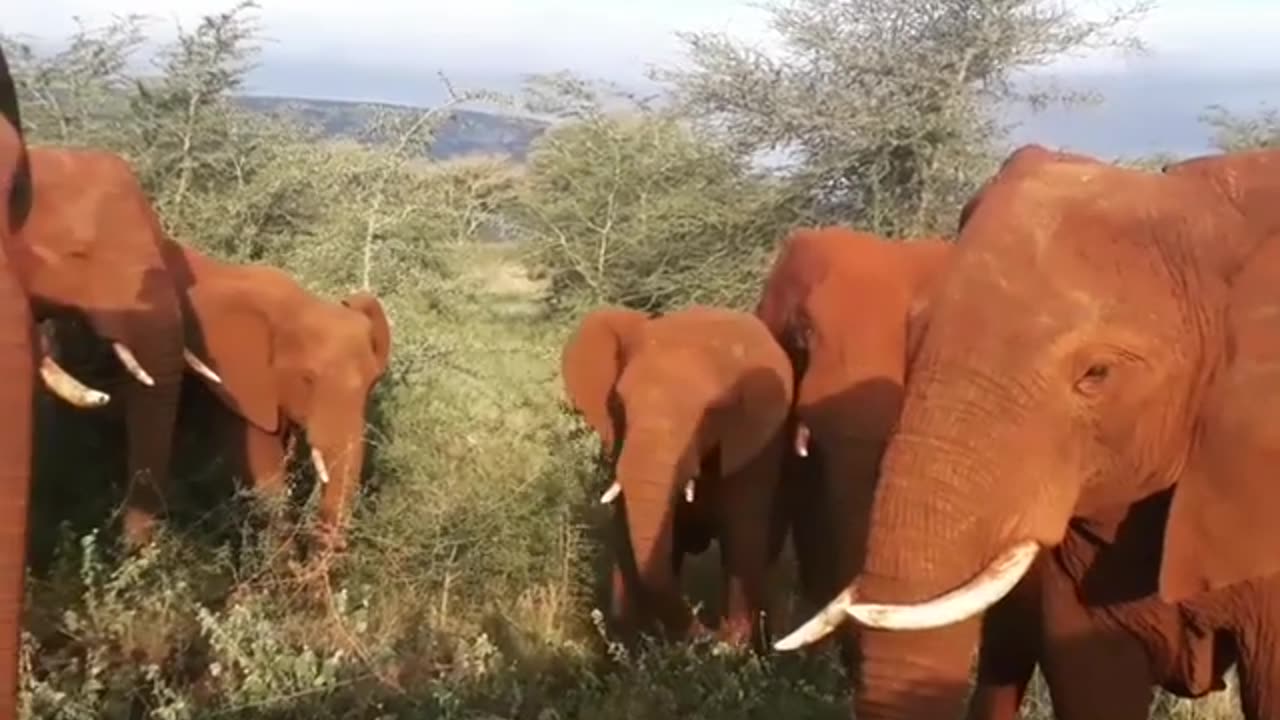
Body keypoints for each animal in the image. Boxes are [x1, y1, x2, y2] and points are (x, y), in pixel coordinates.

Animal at [560, 302, 788, 645]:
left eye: (711, 412)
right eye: (618, 403)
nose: (710, 629)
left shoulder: (755, 450)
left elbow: (743, 541)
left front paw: (733, 645)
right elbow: (626, 539)